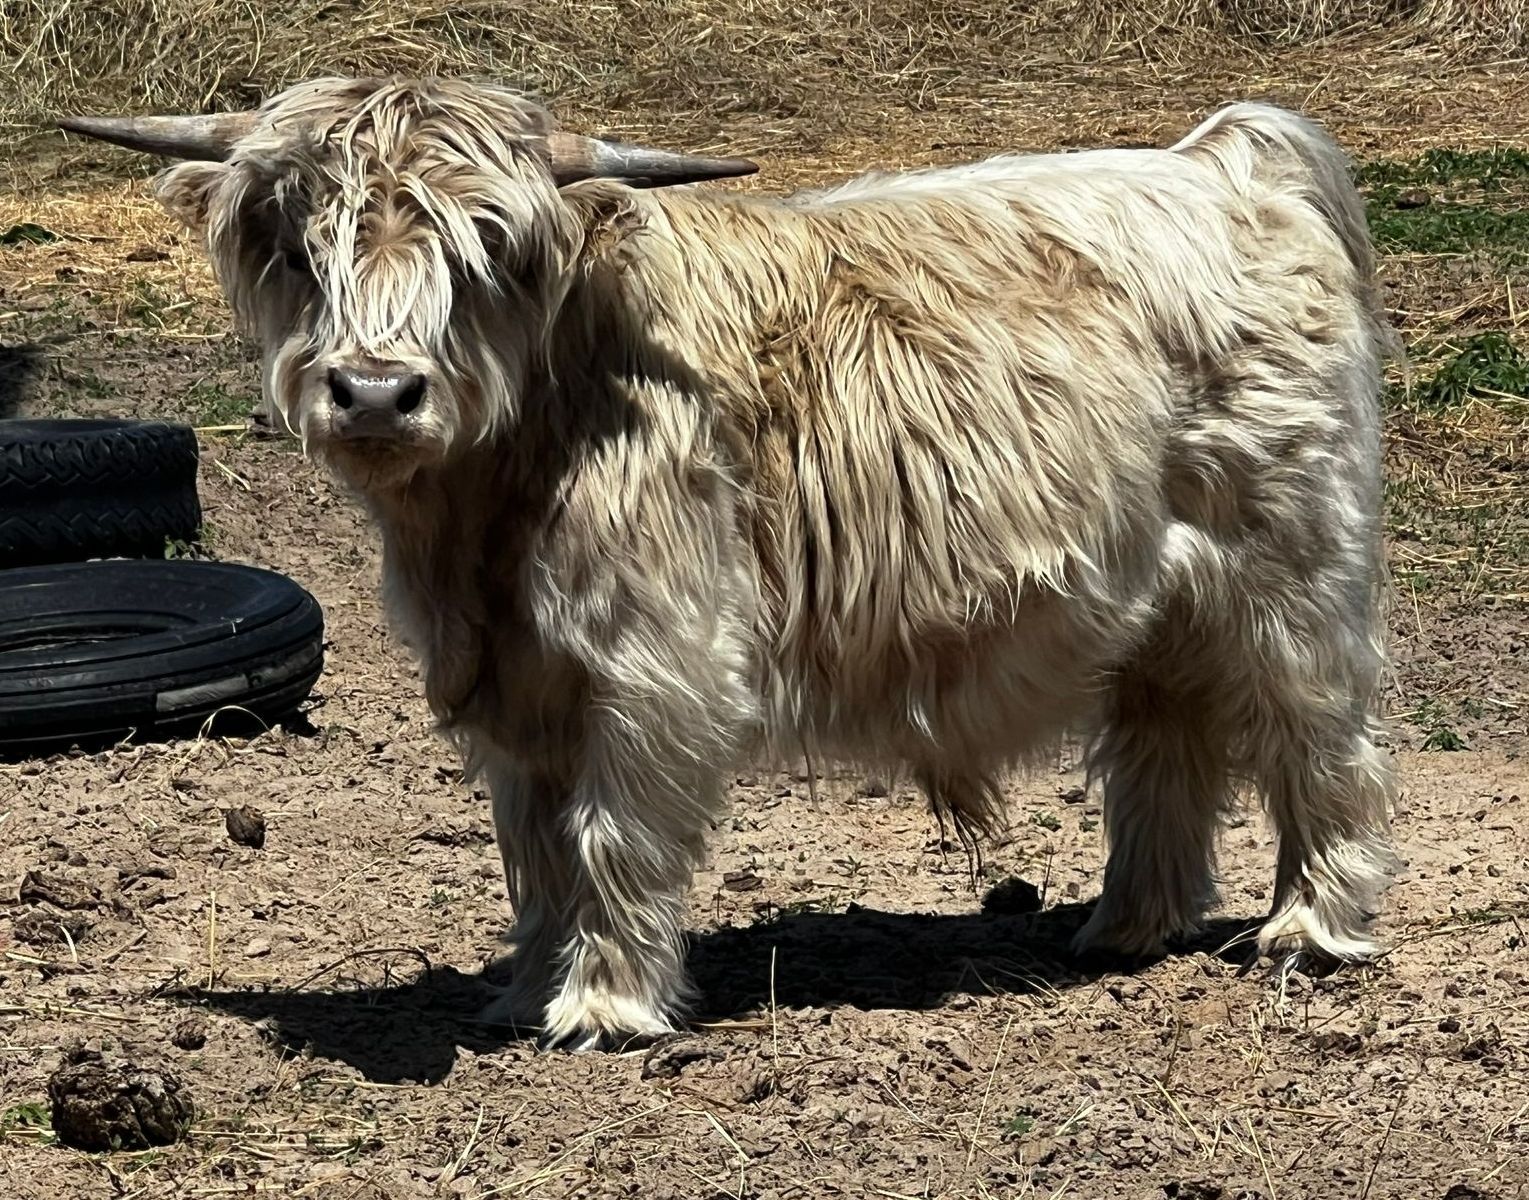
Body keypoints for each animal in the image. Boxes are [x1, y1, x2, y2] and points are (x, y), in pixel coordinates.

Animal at [62, 78, 1399, 1050]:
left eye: (486, 252)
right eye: (300, 248)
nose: (377, 392)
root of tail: (1217, 161)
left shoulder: (653, 662)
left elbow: (613, 834)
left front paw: (603, 1007)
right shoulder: (515, 686)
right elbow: (531, 848)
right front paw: (521, 990)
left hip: (1288, 571)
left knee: (1316, 736)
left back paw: (1311, 927)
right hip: (1153, 598)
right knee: (1162, 742)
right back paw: (1128, 925)